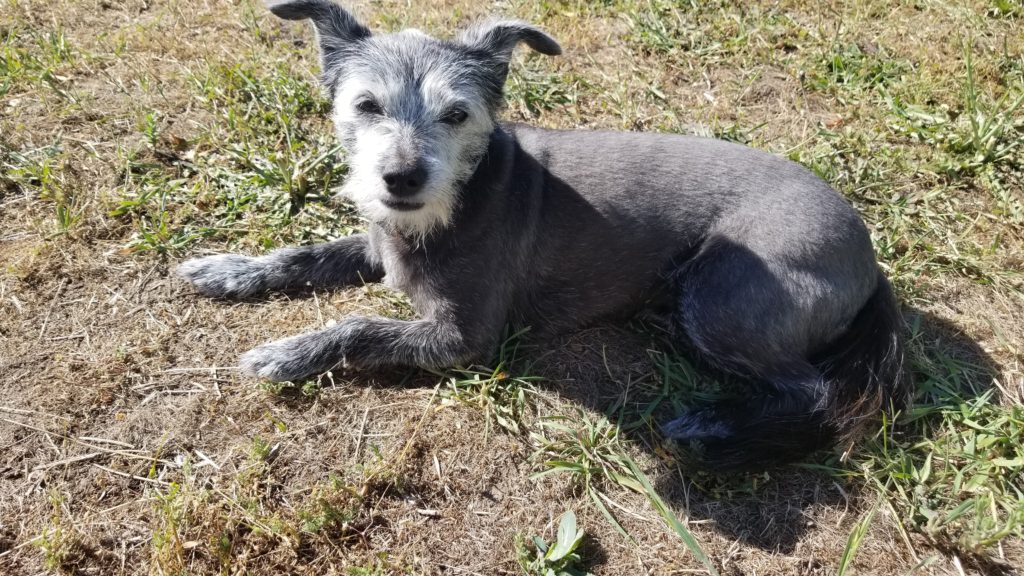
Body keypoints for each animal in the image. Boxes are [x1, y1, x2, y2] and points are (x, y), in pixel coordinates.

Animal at [178, 0, 913, 467]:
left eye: (456, 113)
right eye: (366, 105)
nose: (402, 178)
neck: (460, 199)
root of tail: (869, 256)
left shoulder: (461, 340)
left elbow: (359, 326)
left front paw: (286, 353)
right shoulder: (378, 244)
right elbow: (307, 253)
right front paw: (231, 270)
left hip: (720, 297)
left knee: (816, 393)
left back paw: (717, 432)